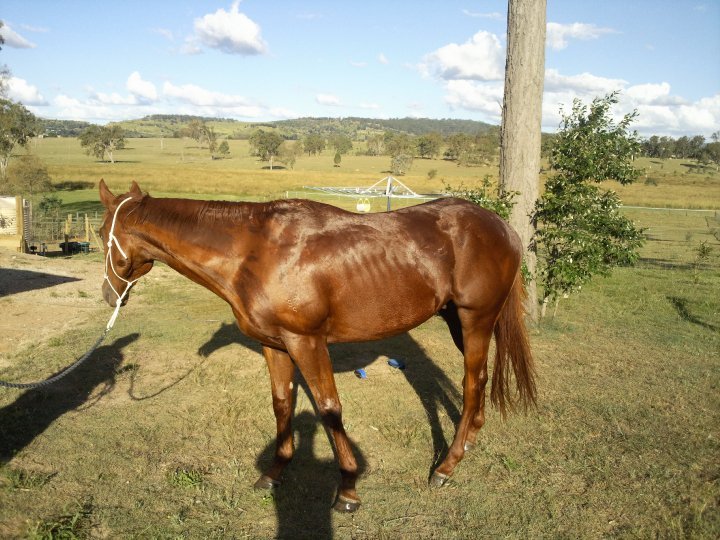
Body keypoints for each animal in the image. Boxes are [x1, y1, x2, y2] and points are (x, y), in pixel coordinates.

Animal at [98, 180, 536, 512]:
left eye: (106, 237)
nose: (108, 294)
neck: (253, 252)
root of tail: (501, 227)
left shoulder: (307, 342)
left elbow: (329, 410)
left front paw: (348, 488)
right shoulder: (274, 345)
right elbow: (282, 404)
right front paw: (274, 473)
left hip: (476, 320)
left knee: (471, 382)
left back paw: (446, 467)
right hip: (458, 321)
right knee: (479, 379)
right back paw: (470, 440)